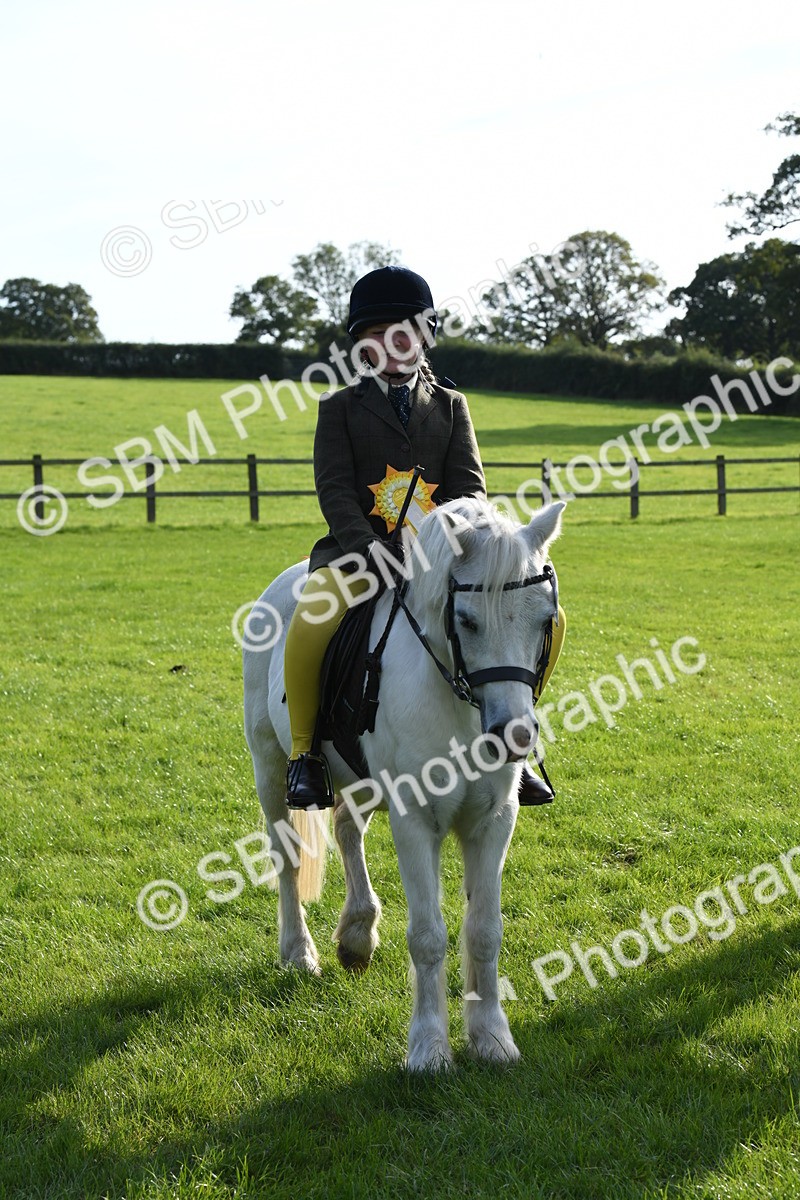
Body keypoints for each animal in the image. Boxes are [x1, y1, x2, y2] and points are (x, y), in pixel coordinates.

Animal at [243, 496, 565, 1071]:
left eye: (544, 618)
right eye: (466, 619)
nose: (514, 735)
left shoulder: (493, 821)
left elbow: (485, 930)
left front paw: (492, 1038)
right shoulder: (416, 820)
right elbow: (428, 936)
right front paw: (429, 1049)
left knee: (347, 830)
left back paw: (356, 934)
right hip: (270, 766)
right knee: (287, 856)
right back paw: (299, 952)